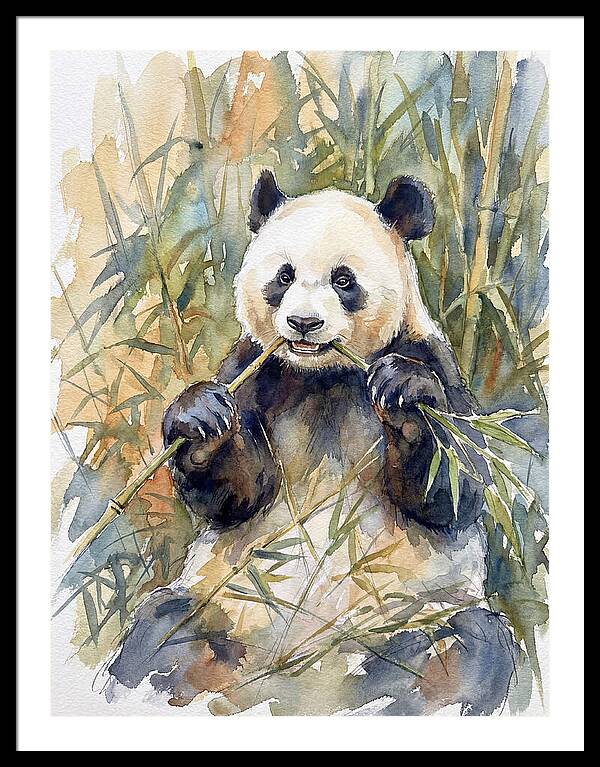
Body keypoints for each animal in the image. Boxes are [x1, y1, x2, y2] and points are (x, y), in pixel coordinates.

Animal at [107, 171, 518, 715]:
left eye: (343, 281)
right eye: (284, 276)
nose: (303, 323)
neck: (324, 376)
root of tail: (299, 676)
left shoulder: (429, 356)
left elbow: (455, 488)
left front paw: (405, 396)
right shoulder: (256, 369)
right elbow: (240, 494)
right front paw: (200, 419)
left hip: (410, 618)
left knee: (468, 648)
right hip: (226, 607)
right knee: (160, 634)